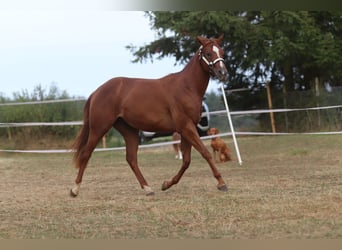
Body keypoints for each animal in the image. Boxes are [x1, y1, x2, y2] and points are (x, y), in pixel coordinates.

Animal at [71, 34, 228, 197]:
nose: (223, 73)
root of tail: (97, 91)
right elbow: (205, 153)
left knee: (131, 159)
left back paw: (148, 188)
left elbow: (186, 161)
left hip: (129, 131)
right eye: (208, 53)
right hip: (99, 128)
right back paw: (74, 189)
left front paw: (166, 184)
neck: (187, 87)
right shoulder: (186, 127)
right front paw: (221, 183)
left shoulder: (187, 129)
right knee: (86, 153)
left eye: (222, 53)